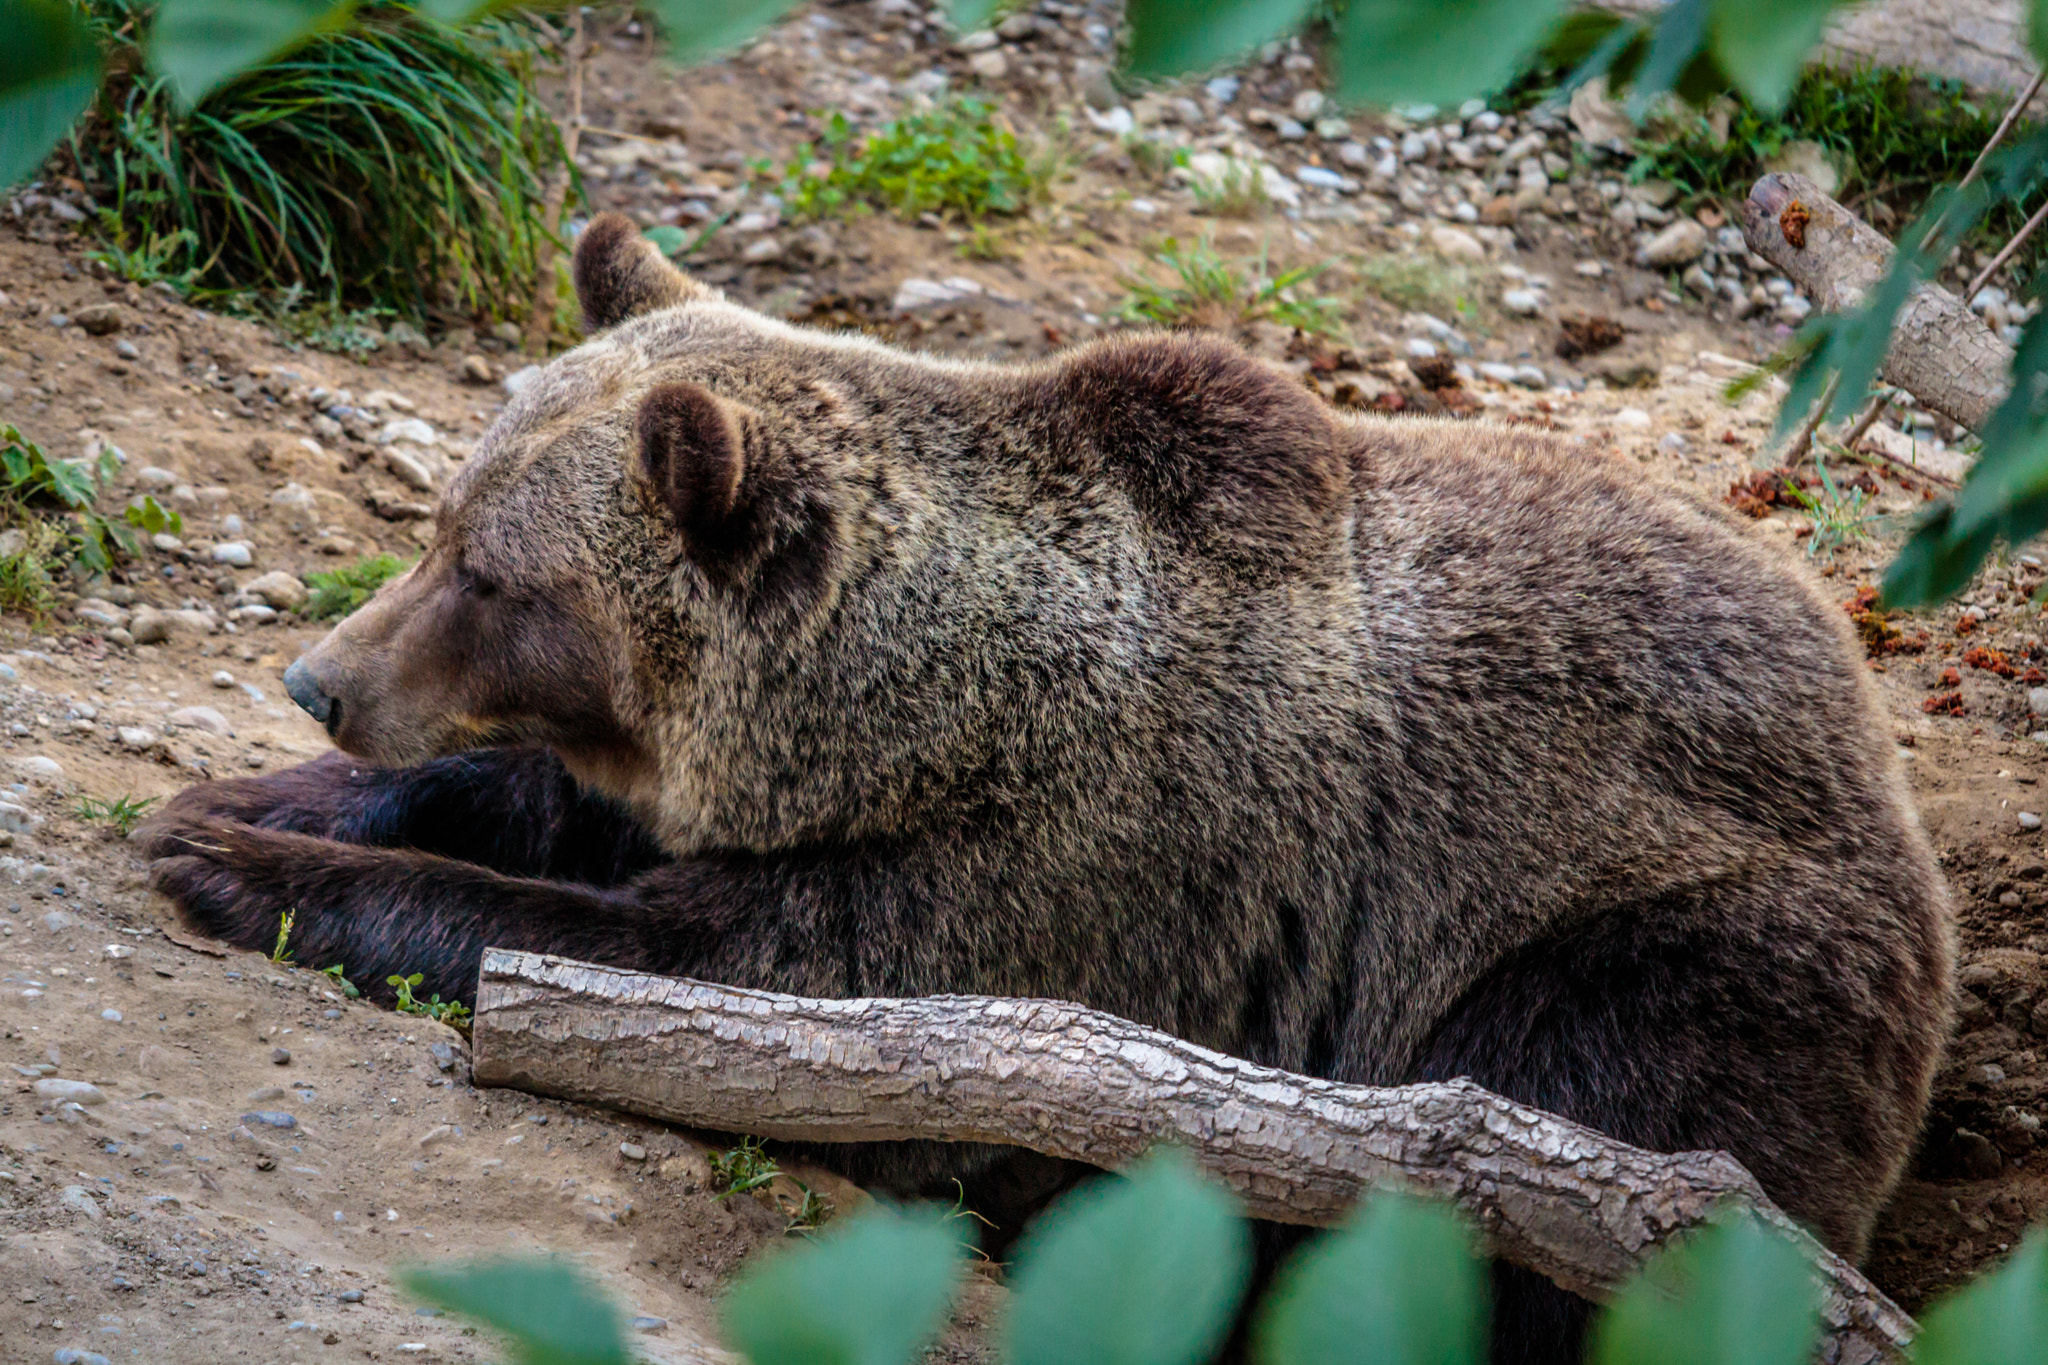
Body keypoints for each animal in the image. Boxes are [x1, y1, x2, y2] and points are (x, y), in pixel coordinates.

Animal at [143, 211, 1953, 1364]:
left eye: (496, 578)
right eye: (444, 519)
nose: (322, 677)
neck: (929, 719)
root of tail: (1884, 775)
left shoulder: (1058, 880)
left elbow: (699, 986)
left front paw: (234, 867)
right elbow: (552, 802)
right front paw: (241, 802)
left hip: (1669, 958)